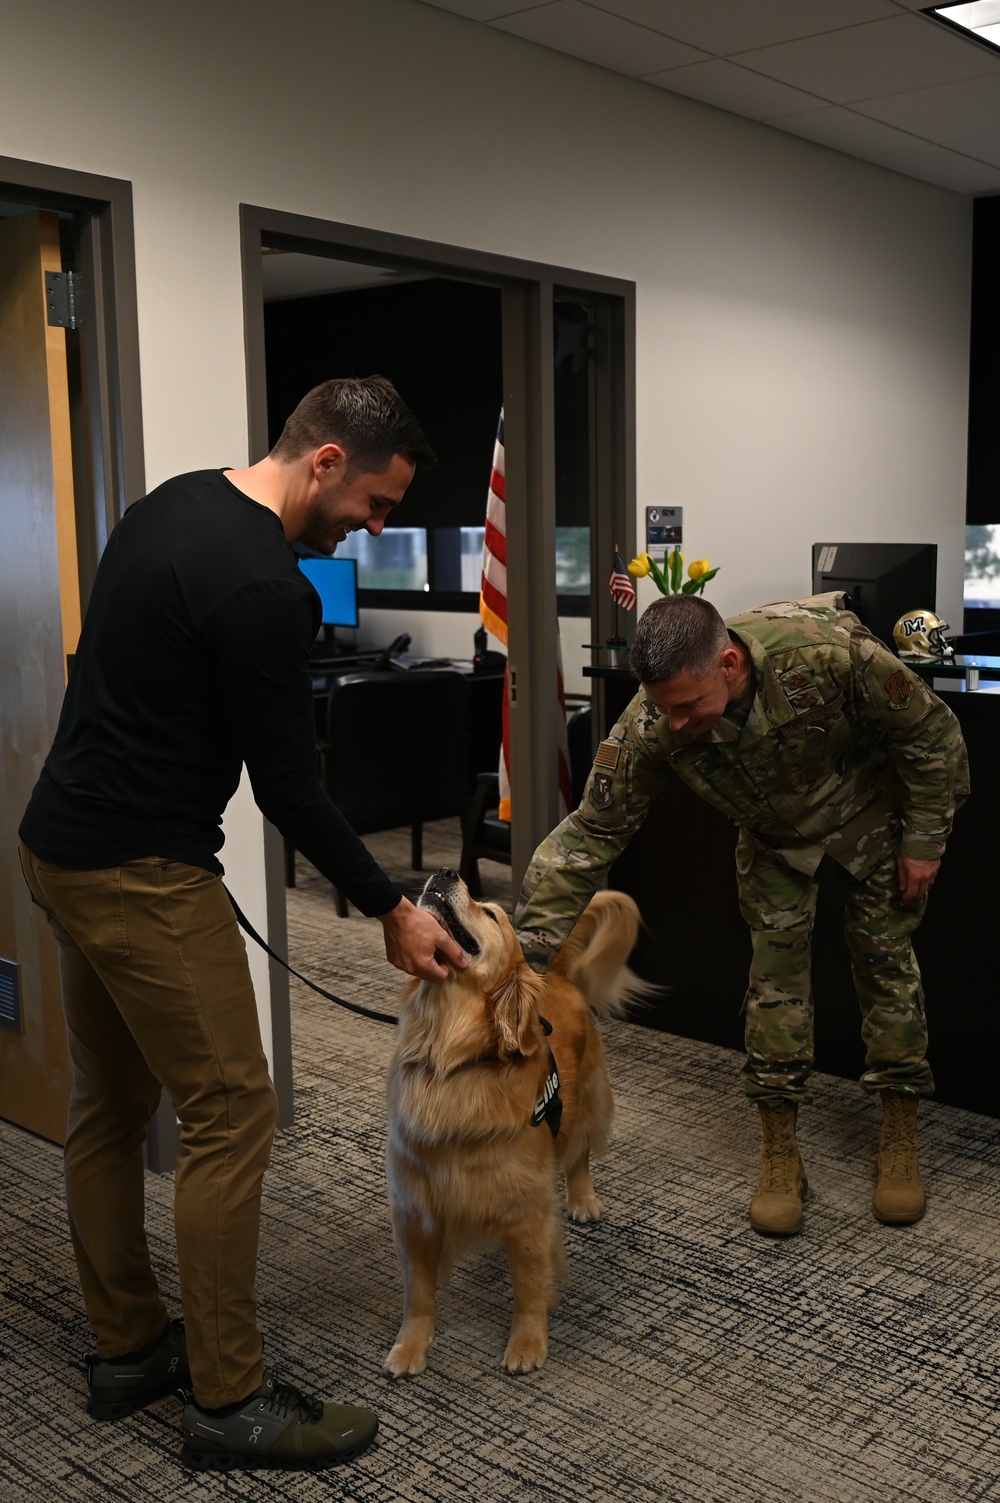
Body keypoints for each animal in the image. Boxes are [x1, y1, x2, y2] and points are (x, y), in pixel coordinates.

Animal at [384, 871, 643, 1376]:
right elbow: (417, 1294)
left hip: (588, 1101)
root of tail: (555, 974)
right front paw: (411, 1345)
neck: (453, 1064)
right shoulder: (416, 1210)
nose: (445, 872)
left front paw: (527, 1343)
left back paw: (583, 1198)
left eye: (491, 914)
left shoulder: (528, 1215)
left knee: (580, 1153)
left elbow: (529, 1288)